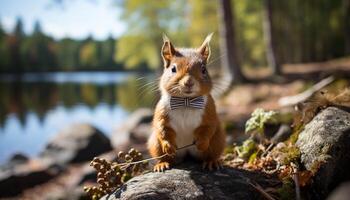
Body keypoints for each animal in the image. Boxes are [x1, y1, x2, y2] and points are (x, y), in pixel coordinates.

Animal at [146, 34, 226, 172]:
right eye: (173, 69)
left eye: (204, 70)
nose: (189, 82)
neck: (185, 102)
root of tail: (187, 154)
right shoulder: (162, 111)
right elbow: (162, 128)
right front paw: (169, 146)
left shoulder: (210, 110)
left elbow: (209, 127)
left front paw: (202, 143)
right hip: (155, 143)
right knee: (163, 155)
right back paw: (162, 164)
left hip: (218, 140)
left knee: (211, 153)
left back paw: (211, 161)